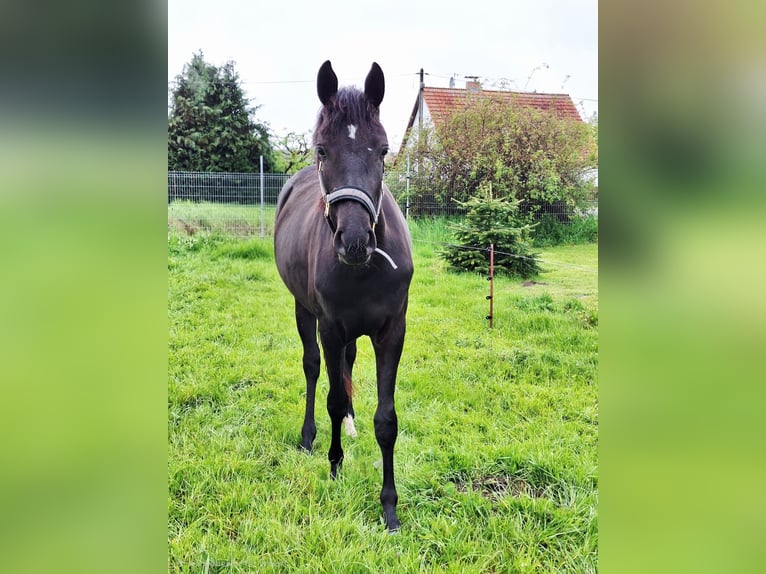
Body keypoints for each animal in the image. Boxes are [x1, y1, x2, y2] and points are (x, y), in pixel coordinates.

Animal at [274, 61, 413, 532]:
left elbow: (386, 420)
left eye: (383, 150)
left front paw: (389, 508)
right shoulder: (331, 327)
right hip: (304, 311)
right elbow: (333, 397)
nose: (354, 241)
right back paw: (309, 437)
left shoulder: (392, 332)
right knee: (314, 368)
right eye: (321, 150)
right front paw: (335, 466)